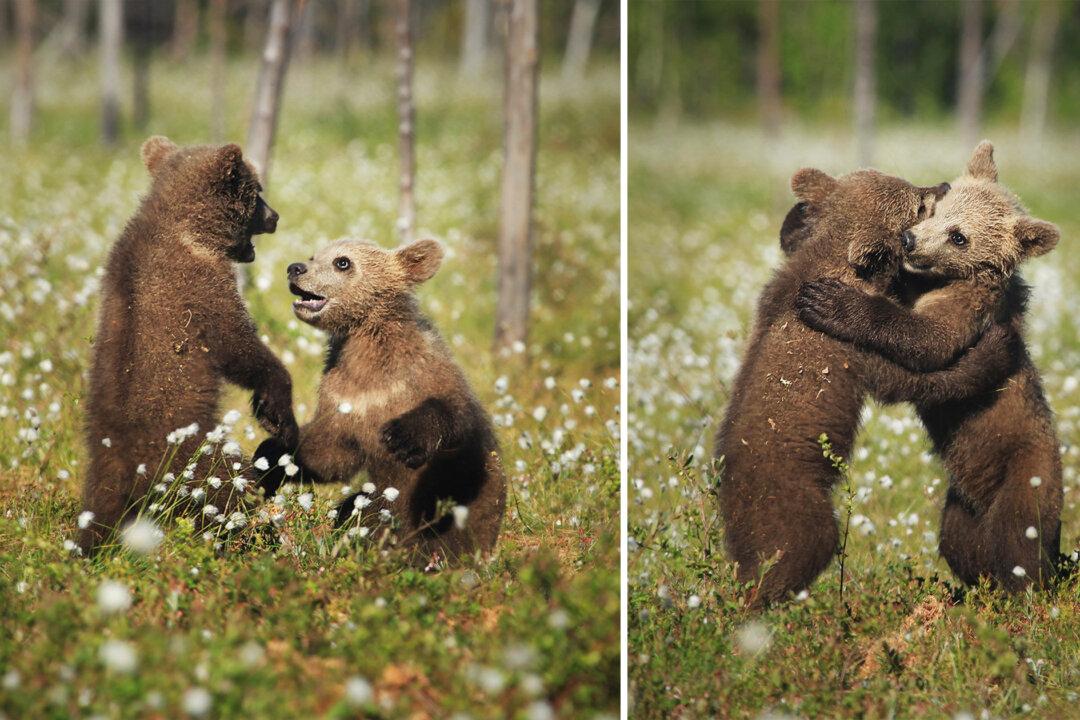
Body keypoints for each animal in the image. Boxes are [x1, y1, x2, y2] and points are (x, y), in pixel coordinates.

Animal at [79, 136, 298, 554]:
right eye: (257, 191)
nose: (276, 216)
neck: (192, 232)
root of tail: (122, 466)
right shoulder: (201, 289)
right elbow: (238, 344)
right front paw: (275, 408)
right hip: (195, 458)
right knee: (225, 491)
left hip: (98, 470)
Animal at [254, 238, 506, 564]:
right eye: (314, 255)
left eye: (342, 261)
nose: (295, 268)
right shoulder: (343, 399)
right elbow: (328, 453)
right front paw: (270, 453)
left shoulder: (423, 375)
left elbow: (457, 422)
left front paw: (403, 438)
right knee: (352, 510)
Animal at [714, 167, 1022, 608]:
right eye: (918, 204)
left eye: (909, 183)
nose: (943, 184)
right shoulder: (848, 350)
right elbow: (916, 378)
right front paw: (996, 347)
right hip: (794, 506)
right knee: (795, 553)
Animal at [794, 141, 1063, 590]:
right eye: (938, 208)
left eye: (960, 236)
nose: (909, 241)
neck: (942, 279)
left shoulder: (968, 310)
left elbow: (926, 340)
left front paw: (831, 302)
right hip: (960, 503)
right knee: (959, 542)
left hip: (1027, 476)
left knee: (1018, 543)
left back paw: (1024, 588)